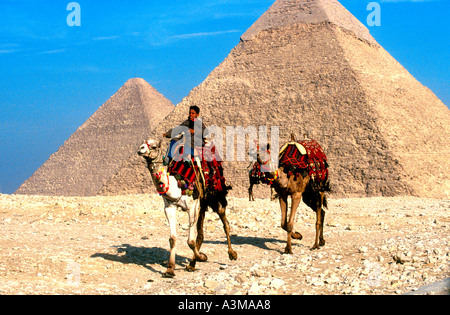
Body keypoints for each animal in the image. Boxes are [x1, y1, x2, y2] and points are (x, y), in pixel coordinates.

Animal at [136, 139, 236, 278]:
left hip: (216, 196)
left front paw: (202, 257)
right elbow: (173, 239)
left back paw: (232, 254)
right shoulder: (169, 207)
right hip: (202, 203)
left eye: (154, 146)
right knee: (201, 233)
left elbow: (190, 241)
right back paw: (191, 265)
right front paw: (170, 270)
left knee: (225, 224)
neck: (177, 185)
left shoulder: (192, 207)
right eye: (143, 143)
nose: (141, 149)